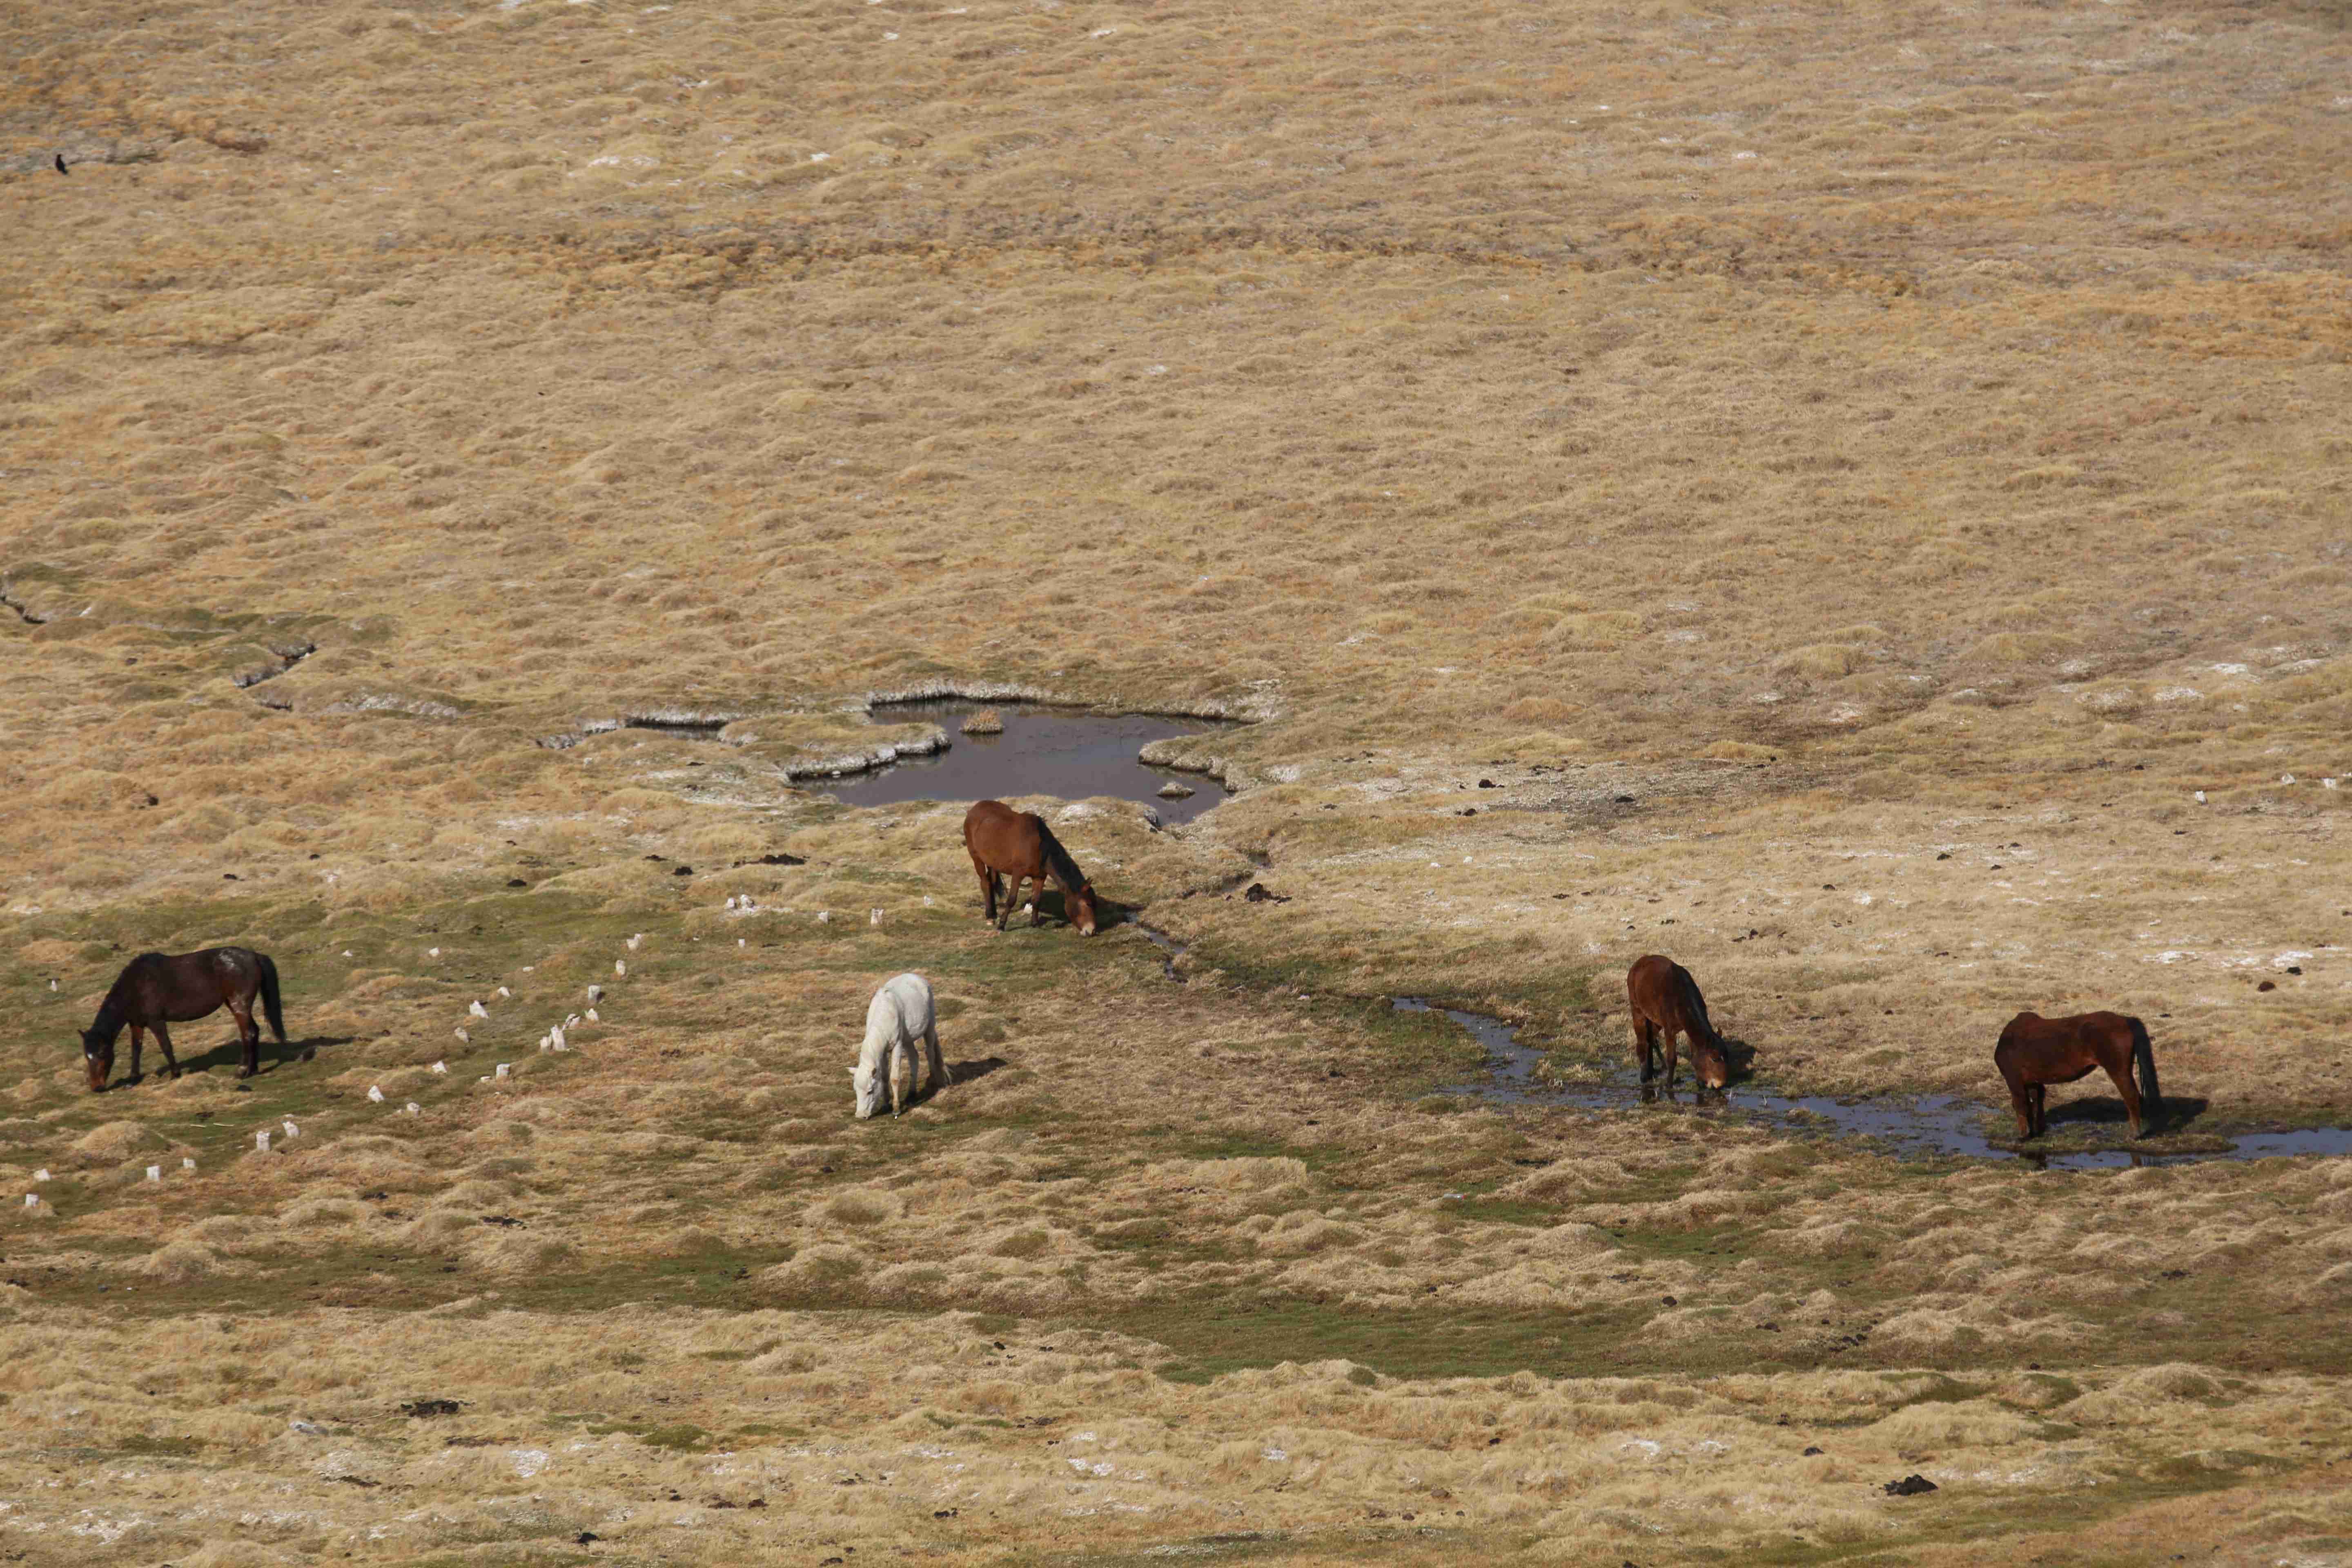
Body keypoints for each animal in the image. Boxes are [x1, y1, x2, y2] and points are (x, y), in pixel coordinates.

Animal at [80, 947, 298, 1091]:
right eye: (87, 1055)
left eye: (102, 1053)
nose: (97, 1087)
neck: (136, 986)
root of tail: (255, 956)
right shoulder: (137, 1024)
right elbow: (136, 1050)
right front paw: (133, 1080)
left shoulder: (156, 1022)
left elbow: (166, 1046)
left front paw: (175, 1075)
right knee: (254, 1031)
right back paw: (253, 1070)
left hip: (240, 1005)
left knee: (249, 1033)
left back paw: (242, 1071)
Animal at [852, 973, 951, 1119]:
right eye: (856, 1090)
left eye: (870, 1091)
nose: (860, 1115)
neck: (885, 1014)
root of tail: (917, 977)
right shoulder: (883, 1051)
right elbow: (884, 1077)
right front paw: (886, 1105)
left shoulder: (897, 1045)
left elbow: (894, 1078)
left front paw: (896, 1109)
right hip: (908, 1040)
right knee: (914, 1057)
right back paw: (911, 1094)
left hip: (929, 1027)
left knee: (930, 1053)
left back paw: (933, 1084)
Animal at [962, 799, 1098, 936]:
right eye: (1088, 904)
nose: (1092, 931)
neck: (1040, 847)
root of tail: (975, 808)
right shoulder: (1018, 875)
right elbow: (1011, 900)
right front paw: (1002, 925)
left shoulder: (1040, 877)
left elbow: (1036, 900)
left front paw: (1035, 924)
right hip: (977, 858)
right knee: (985, 883)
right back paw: (990, 916)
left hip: (993, 863)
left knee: (992, 882)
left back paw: (994, 914)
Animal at [1626, 955, 1730, 1091]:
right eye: (1714, 1059)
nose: (1720, 1084)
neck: (1680, 996)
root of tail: (1639, 962)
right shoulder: (1669, 1030)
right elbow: (1672, 1059)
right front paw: (1669, 1085)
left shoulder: (1689, 1029)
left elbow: (1695, 1054)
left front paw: (1700, 1082)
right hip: (1637, 1010)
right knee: (1643, 1041)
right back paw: (1644, 1075)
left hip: (1656, 1020)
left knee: (1651, 1039)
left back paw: (1652, 1070)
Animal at [1995, 1011, 2161, 1140]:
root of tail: (2125, 1020)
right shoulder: (2034, 1082)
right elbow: (2036, 1105)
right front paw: (2037, 1132)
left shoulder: (2014, 1080)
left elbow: (2022, 1106)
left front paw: (2023, 1136)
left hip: (2118, 1071)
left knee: (2132, 1097)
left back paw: (2135, 1134)